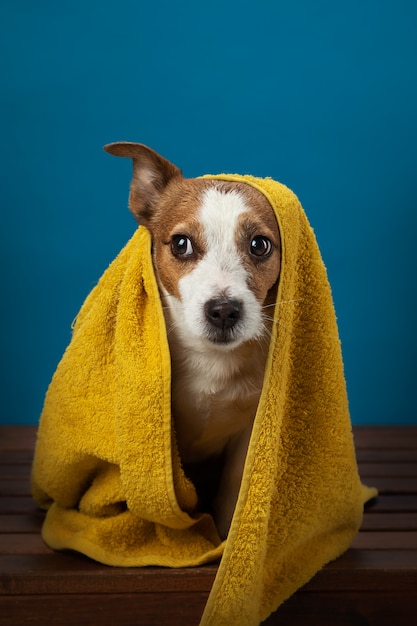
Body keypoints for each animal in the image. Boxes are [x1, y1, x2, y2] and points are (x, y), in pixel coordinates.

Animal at [104, 143, 282, 536]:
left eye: (260, 245)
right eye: (181, 244)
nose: (224, 310)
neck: (210, 360)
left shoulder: (248, 435)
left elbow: (233, 493)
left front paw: (225, 537)